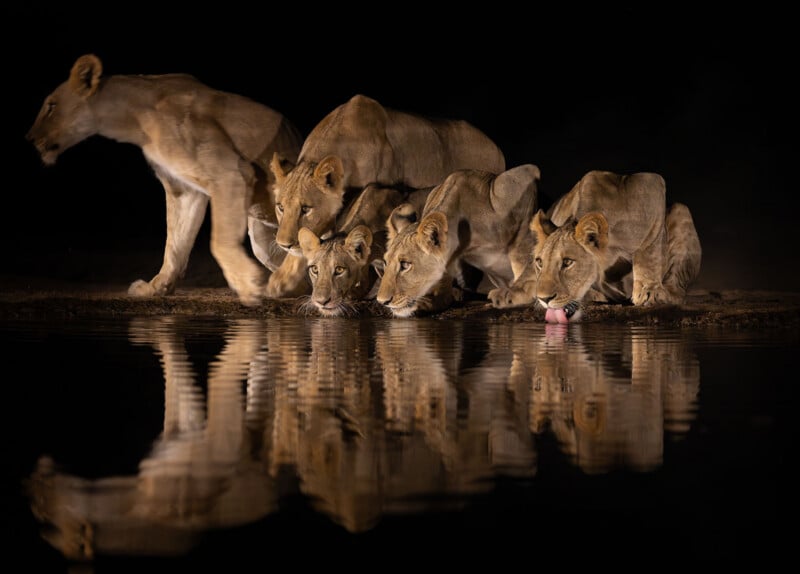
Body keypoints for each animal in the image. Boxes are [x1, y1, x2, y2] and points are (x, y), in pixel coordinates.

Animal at [26, 54, 303, 306]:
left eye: (51, 106)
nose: (29, 138)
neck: (133, 120)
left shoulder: (229, 172)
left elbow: (218, 240)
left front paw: (247, 283)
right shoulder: (184, 189)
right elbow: (175, 243)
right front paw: (156, 287)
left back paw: (284, 282)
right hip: (262, 238)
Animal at [375, 164, 541, 318]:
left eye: (405, 265)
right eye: (385, 263)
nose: (382, 301)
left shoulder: (524, 183)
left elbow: (523, 258)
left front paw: (517, 293)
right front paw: (433, 300)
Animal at [488, 170, 702, 323]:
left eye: (567, 262)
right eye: (540, 262)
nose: (544, 299)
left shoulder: (651, 189)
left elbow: (649, 251)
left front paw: (650, 290)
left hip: (681, 210)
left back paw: (670, 293)